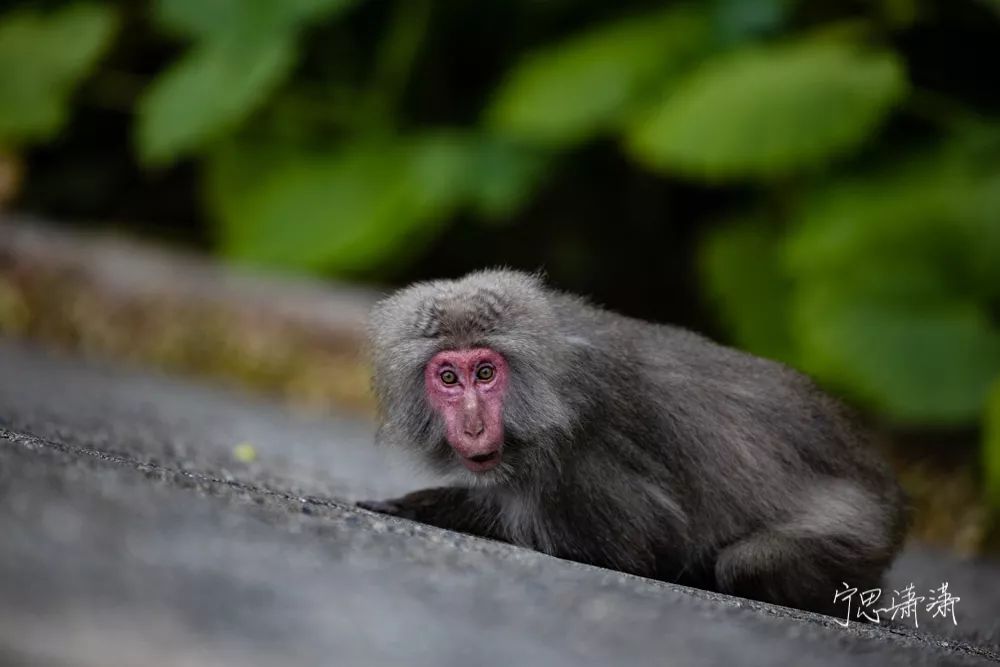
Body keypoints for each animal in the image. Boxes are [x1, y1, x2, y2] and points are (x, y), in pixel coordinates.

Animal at [356, 270, 912, 616]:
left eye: (486, 372)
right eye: (449, 377)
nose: (472, 425)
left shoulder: (584, 440)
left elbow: (630, 542)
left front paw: (423, 506)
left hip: (855, 534)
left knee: (747, 564)